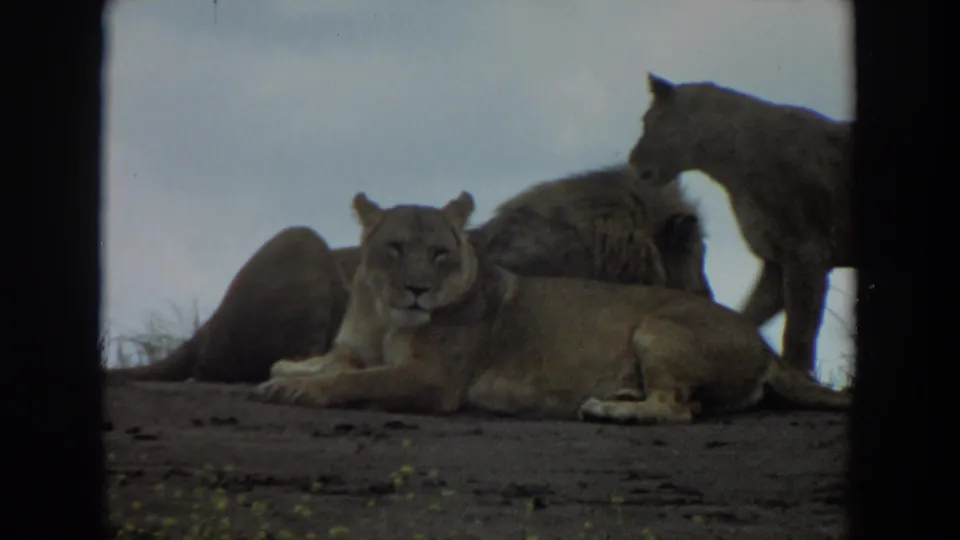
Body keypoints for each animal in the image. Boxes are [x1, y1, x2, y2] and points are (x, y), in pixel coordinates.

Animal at [254, 191, 850, 424]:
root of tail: (765, 348)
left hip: (657, 326)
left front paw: (302, 389)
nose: (418, 290)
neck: (382, 314)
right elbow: (332, 362)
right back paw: (619, 394)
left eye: (440, 253)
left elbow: (357, 380)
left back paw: (610, 408)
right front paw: (286, 371)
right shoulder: (359, 345)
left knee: (678, 408)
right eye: (396, 247)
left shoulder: (432, 379)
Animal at [627, 73, 854, 375]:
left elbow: (798, 334)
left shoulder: (806, 255)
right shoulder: (775, 260)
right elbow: (749, 314)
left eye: (649, 119)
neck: (730, 167)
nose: (632, 161)